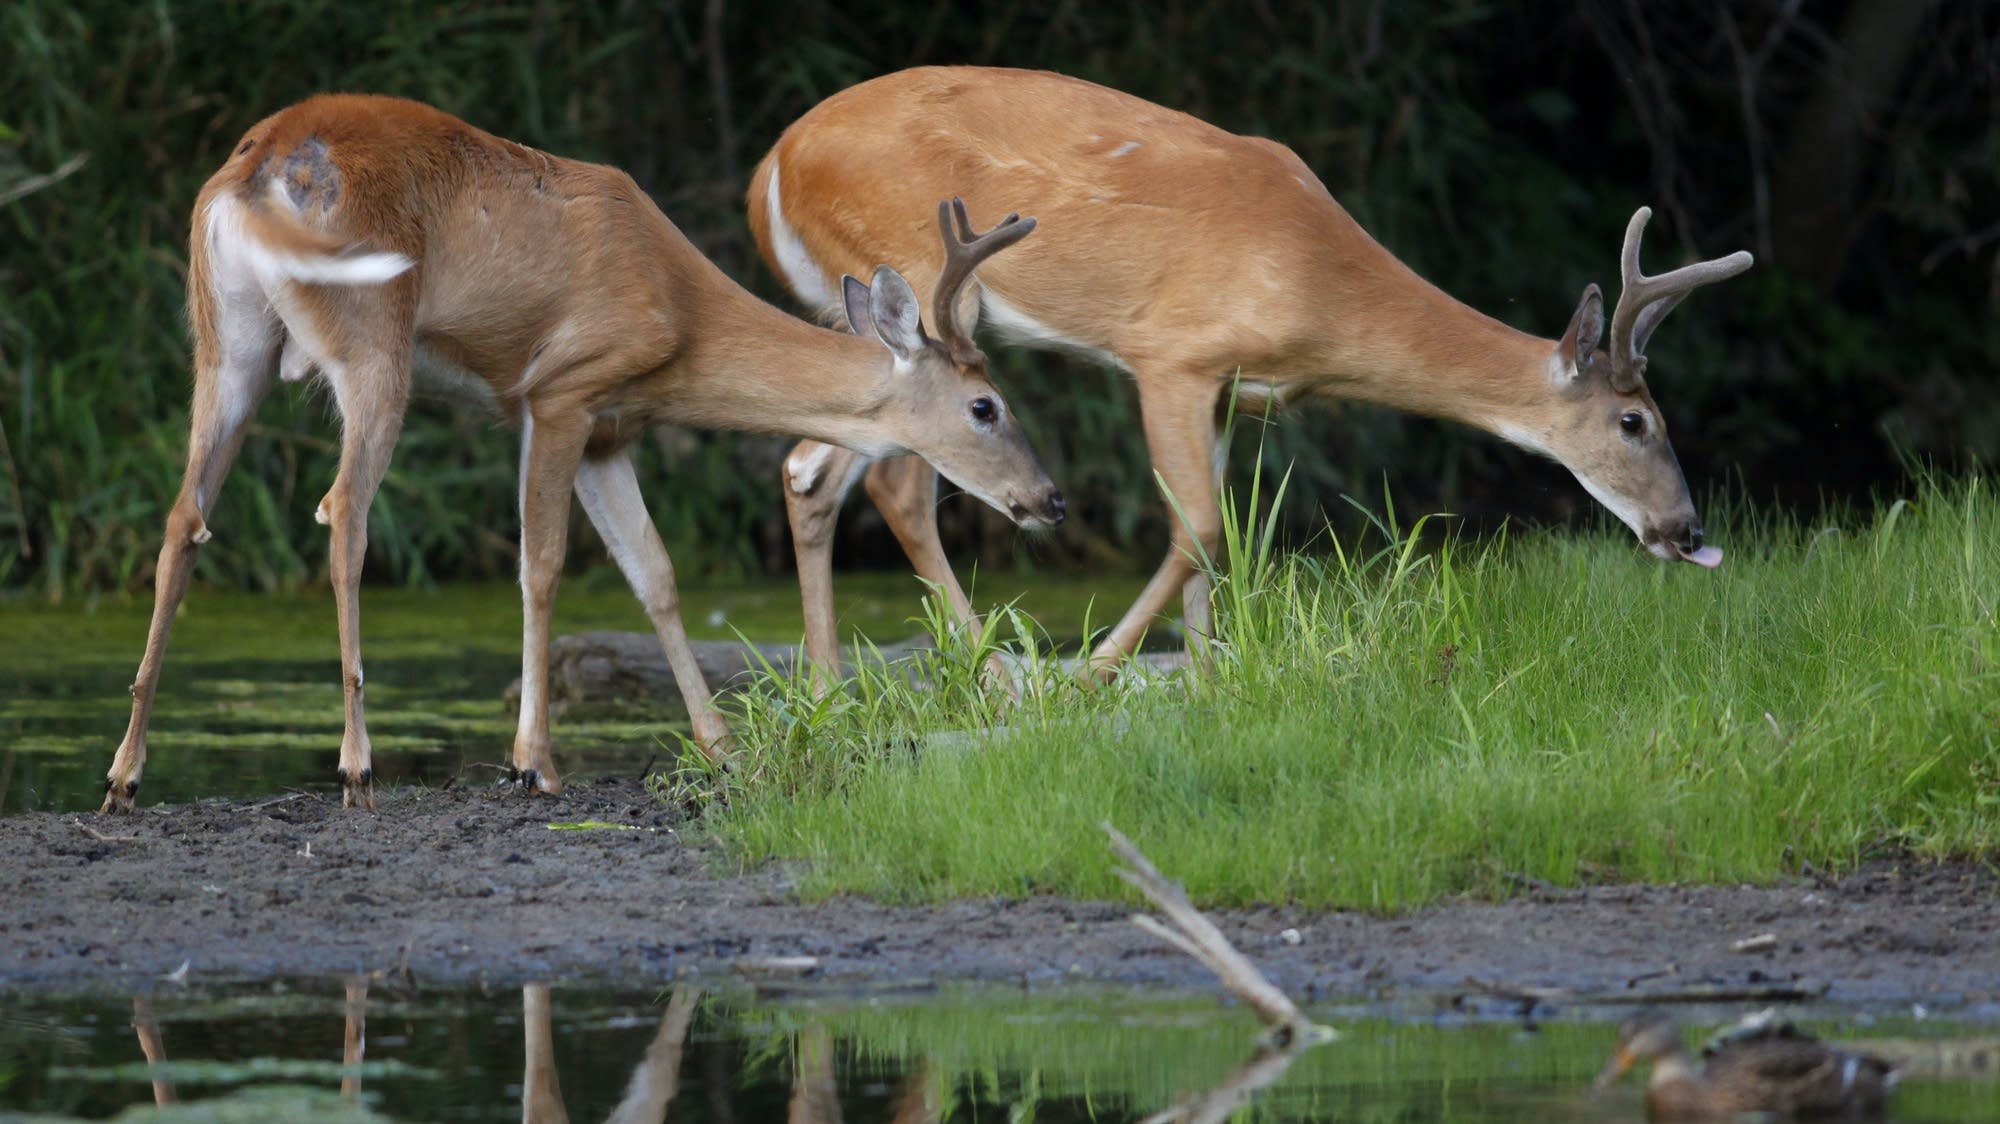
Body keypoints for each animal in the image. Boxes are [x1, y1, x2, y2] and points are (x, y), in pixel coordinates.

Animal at [101, 92, 1064, 808]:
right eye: (986, 406)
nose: (1050, 500)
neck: (679, 318)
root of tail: (259, 163)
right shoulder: (559, 392)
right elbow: (543, 564)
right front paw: (535, 762)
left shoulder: (609, 429)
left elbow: (657, 574)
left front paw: (719, 747)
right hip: (371, 340)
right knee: (344, 513)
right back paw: (357, 764)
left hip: (226, 339)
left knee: (184, 517)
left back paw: (126, 773)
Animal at [752, 65, 1752, 680]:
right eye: (1636, 422)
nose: (1688, 528)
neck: (1317, 285)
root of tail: (770, 169)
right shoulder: (1170, 353)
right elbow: (1195, 524)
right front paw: (1092, 680)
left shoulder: (1232, 388)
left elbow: (1220, 534)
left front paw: (1205, 683)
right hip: (918, 286)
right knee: (892, 485)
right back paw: (996, 677)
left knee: (811, 467)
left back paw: (833, 688)